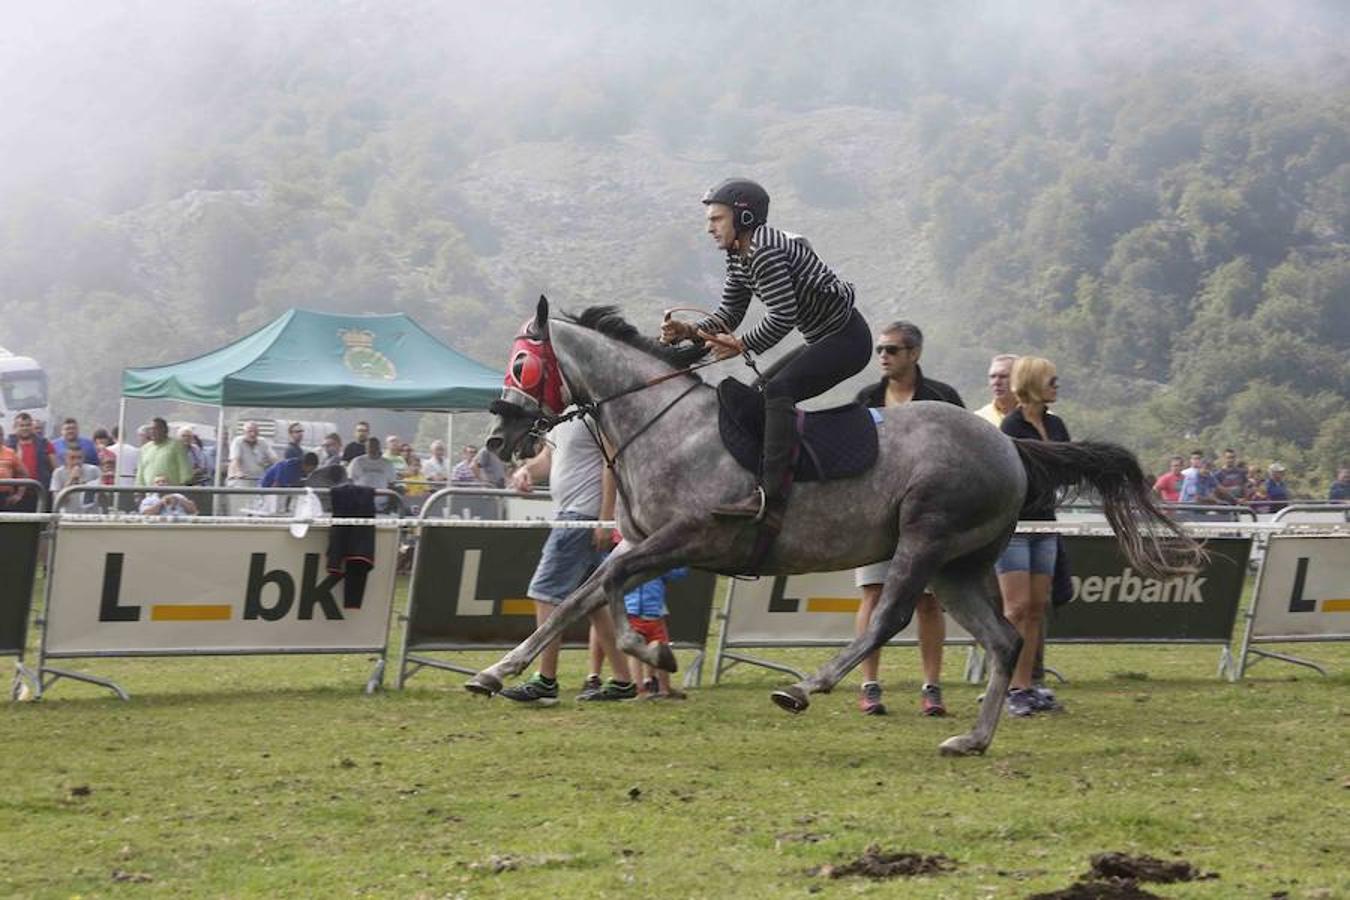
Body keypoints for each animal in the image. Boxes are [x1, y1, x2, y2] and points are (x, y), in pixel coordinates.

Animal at [467, 299, 1204, 755]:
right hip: (959, 565)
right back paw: (972, 739)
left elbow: (602, 585)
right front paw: (521, 669)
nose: (500, 440)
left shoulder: (688, 537)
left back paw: (805, 686)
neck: (664, 425)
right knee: (1003, 639)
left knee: (890, 619)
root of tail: (1011, 444)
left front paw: (632, 657)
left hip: (926, 539)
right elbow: (592, 592)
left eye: (521, 364)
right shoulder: (647, 542)